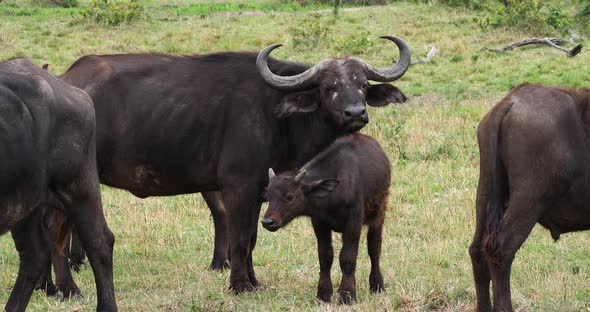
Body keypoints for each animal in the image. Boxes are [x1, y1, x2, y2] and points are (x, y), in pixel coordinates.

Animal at [264, 133, 394, 304]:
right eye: (268, 195)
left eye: (290, 196)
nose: (267, 221)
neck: (333, 195)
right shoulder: (319, 223)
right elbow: (325, 256)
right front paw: (324, 294)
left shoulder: (353, 222)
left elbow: (348, 257)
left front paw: (347, 295)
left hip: (378, 215)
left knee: (374, 249)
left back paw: (377, 285)